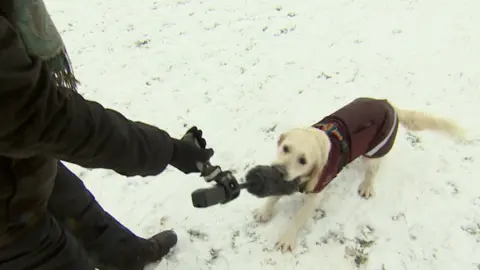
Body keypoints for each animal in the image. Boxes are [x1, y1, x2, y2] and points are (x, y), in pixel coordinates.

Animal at [251, 97, 464, 253]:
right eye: (285, 148)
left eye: (303, 160)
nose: (279, 170)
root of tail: (389, 104)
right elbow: (272, 198)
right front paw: (264, 211)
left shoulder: (315, 194)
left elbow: (297, 218)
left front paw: (287, 239)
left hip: (375, 150)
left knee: (373, 170)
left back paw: (367, 186)